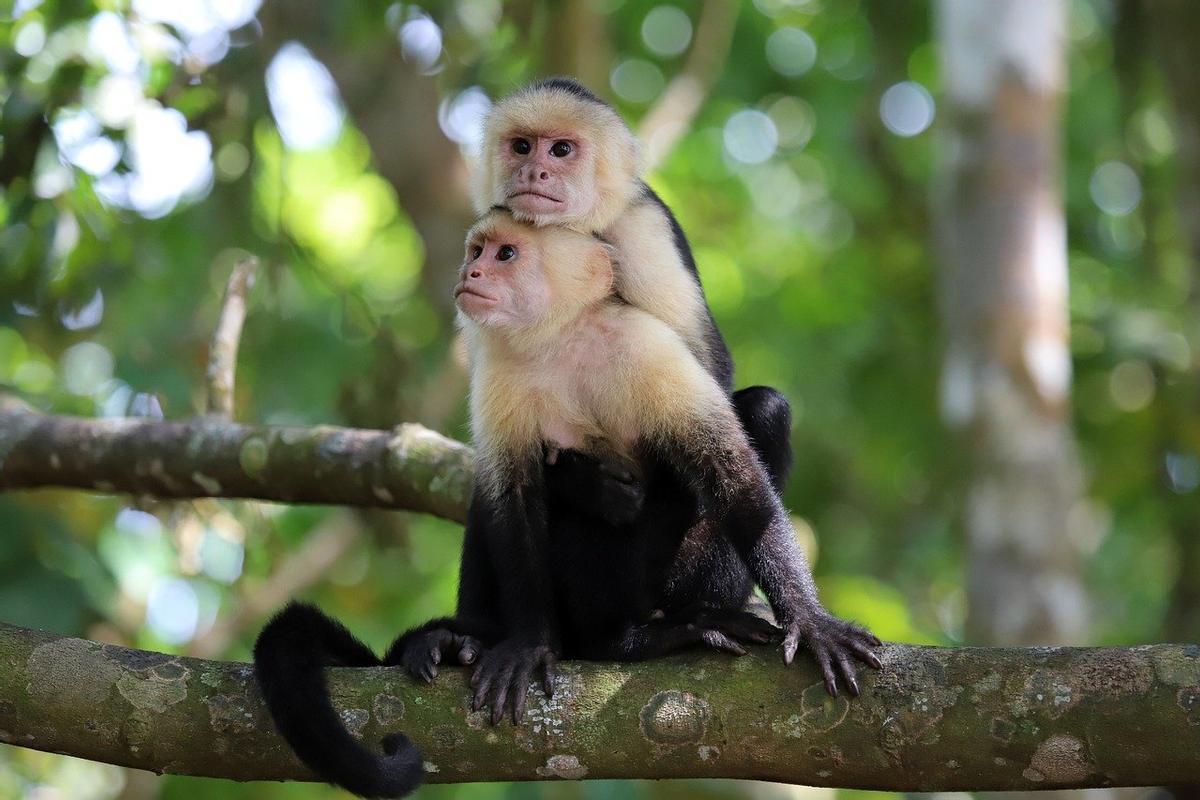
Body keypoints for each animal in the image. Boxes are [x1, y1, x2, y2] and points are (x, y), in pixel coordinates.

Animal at [253, 211, 883, 800]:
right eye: (477, 251)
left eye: (505, 254)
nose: (470, 274)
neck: (561, 339)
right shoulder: (499, 372)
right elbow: (511, 499)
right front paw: (529, 643)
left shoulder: (647, 346)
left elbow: (733, 474)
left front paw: (811, 620)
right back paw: (498, 639)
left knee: (762, 413)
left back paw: (661, 629)